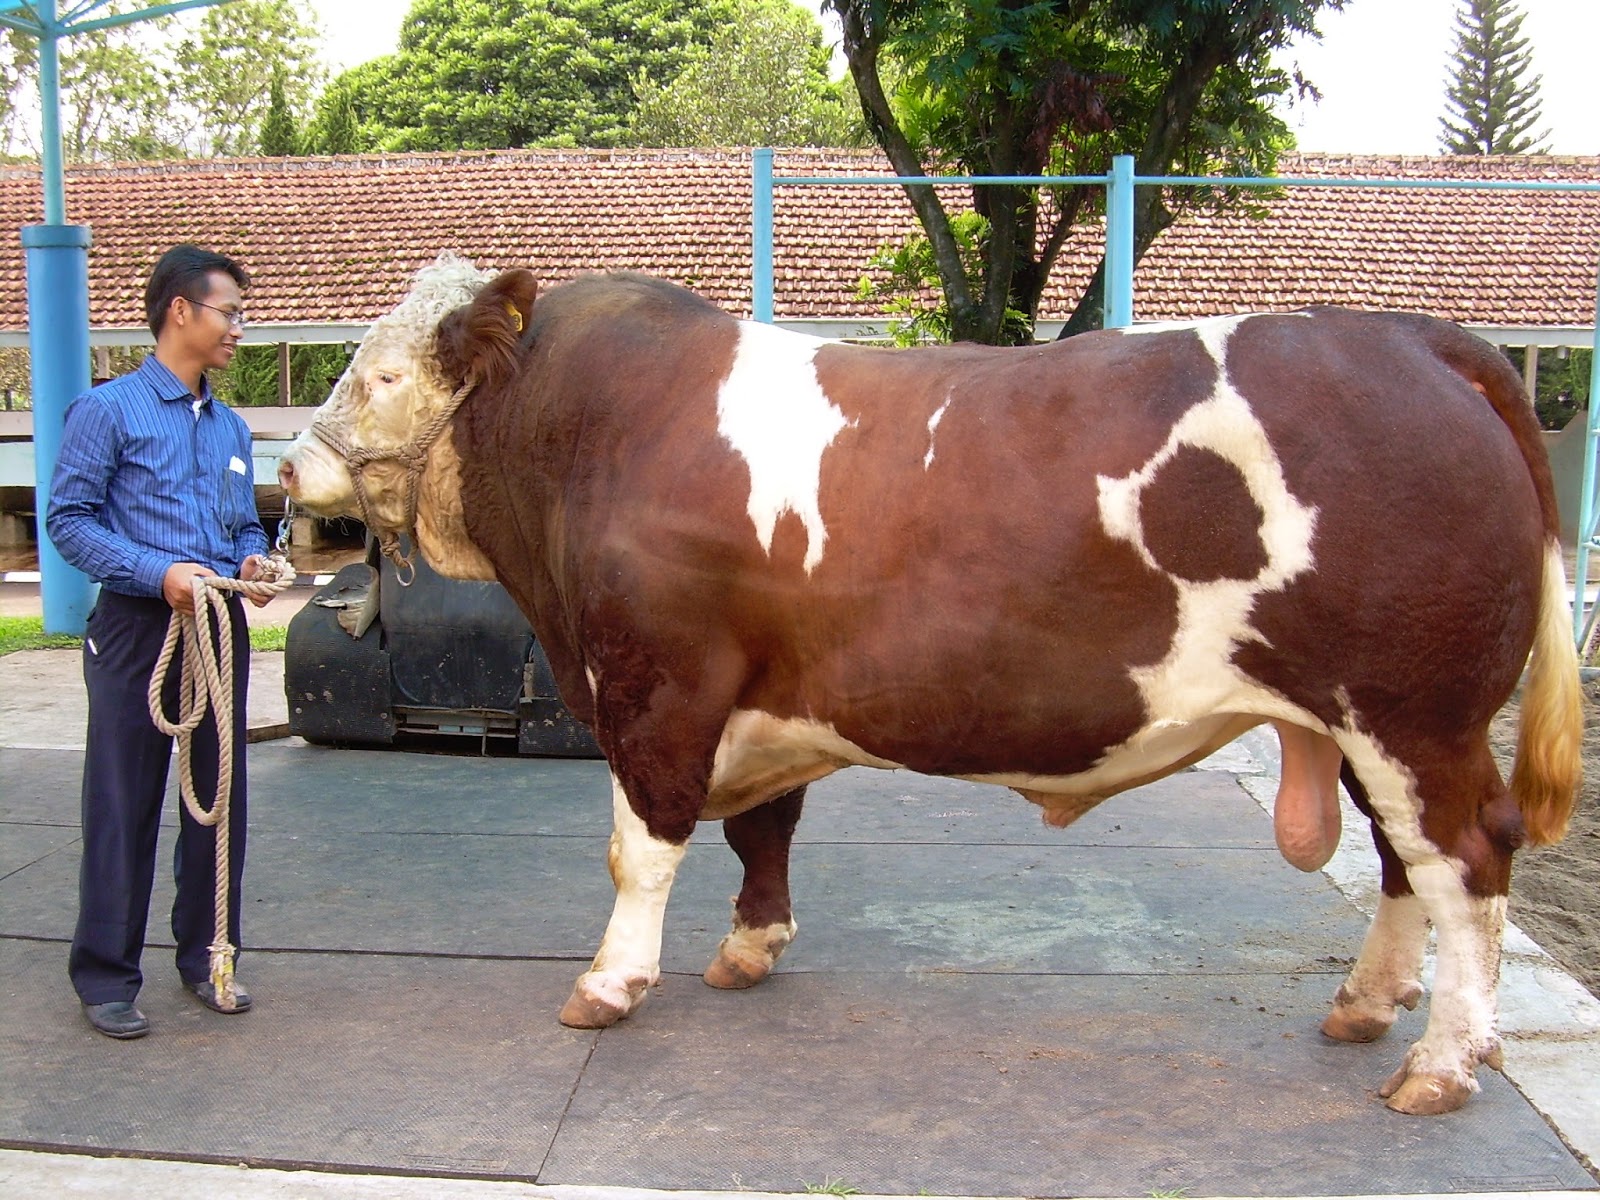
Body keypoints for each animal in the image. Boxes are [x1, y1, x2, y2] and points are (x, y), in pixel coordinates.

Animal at [281, 259, 1580, 1126]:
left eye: (380, 372)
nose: (288, 470)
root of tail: (1415, 340)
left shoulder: (656, 688)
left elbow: (638, 850)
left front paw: (609, 983)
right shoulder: (762, 699)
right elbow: (762, 827)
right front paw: (749, 948)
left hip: (1416, 716)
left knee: (1468, 863)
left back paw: (1439, 1066)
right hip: (1371, 729)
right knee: (1406, 865)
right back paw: (1366, 1004)